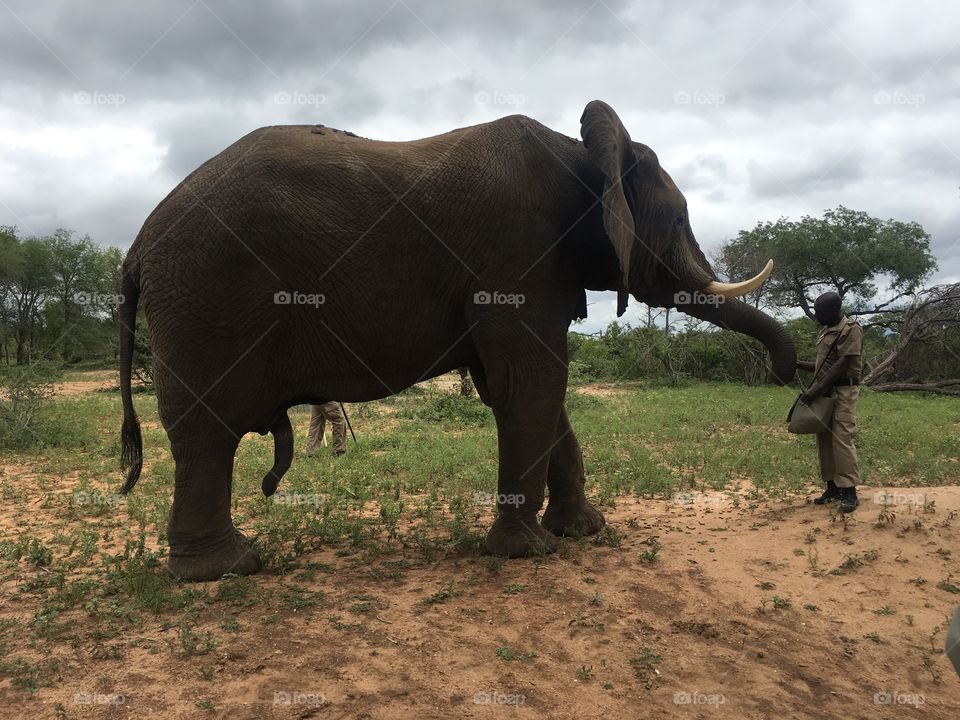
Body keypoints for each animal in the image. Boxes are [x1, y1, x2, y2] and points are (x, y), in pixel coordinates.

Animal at [117, 100, 796, 582]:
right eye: (680, 220)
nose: (788, 374)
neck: (582, 151)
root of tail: (138, 242)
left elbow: (530, 390)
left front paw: (582, 532)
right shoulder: (517, 249)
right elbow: (532, 380)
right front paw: (528, 553)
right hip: (206, 297)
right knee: (206, 433)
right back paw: (229, 570)